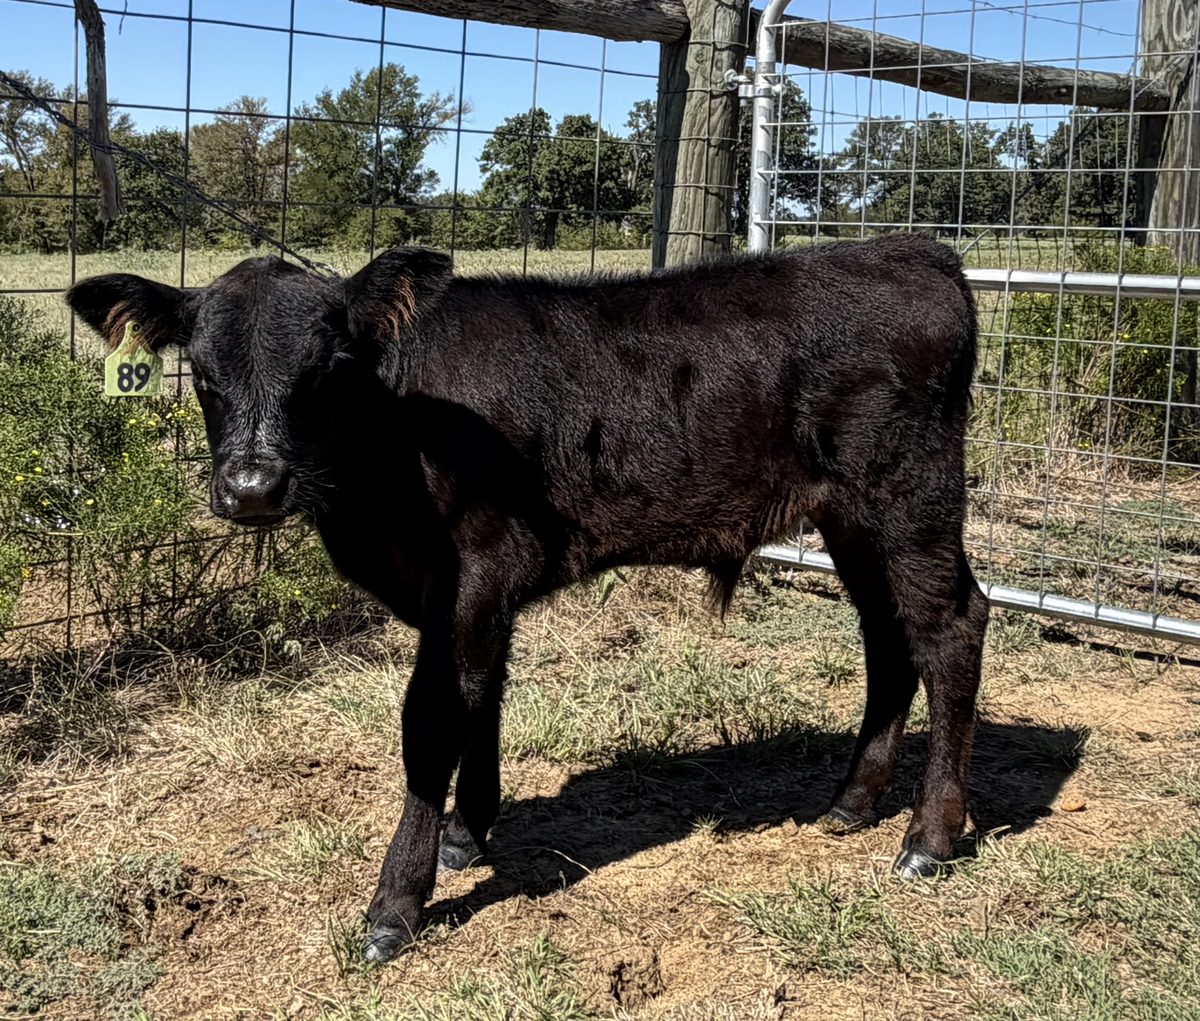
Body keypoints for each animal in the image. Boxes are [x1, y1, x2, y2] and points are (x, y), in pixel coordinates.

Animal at [66, 233, 989, 963]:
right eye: (202, 372)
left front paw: (395, 904)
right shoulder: (475, 590)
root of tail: (914, 251)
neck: (395, 435)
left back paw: (928, 837)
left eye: (326, 369)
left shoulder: (475, 566)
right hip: (850, 517)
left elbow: (432, 720)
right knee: (887, 636)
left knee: (950, 627)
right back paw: (852, 802)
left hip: (908, 494)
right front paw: (467, 833)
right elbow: (485, 694)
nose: (253, 487)